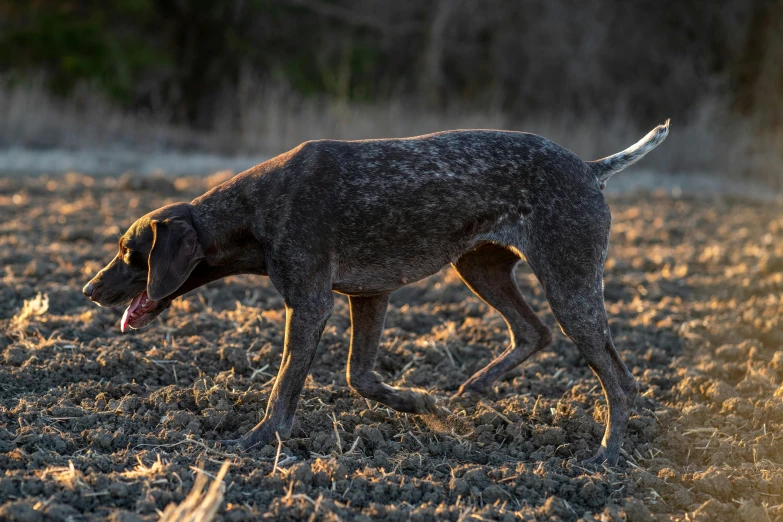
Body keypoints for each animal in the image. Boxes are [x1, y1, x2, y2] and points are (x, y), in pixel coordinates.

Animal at [87, 122, 672, 464]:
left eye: (128, 252)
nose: (90, 289)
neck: (251, 211)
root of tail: (590, 170)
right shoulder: (368, 295)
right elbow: (360, 378)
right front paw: (420, 404)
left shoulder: (311, 303)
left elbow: (284, 388)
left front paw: (257, 439)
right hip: (480, 267)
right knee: (535, 333)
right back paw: (474, 390)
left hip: (569, 284)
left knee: (618, 379)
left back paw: (607, 457)